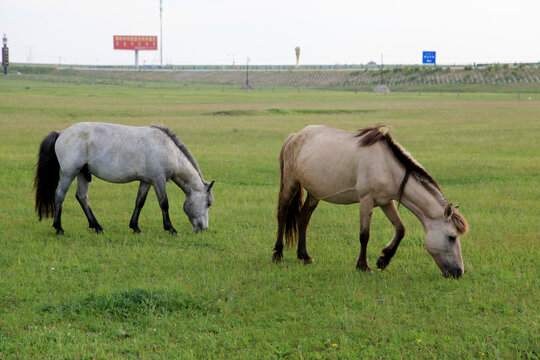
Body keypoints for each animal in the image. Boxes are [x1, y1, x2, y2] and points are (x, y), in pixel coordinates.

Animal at [33, 122, 215, 235]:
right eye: (208, 203)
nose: (204, 229)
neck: (168, 149)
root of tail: (62, 133)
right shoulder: (158, 180)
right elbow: (164, 204)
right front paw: (171, 229)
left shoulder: (146, 181)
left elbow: (139, 202)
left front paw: (135, 227)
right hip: (70, 173)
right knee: (60, 195)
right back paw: (59, 228)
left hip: (83, 174)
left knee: (82, 197)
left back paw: (97, 227)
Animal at [274, 124, 468, 278]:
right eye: (451, 237)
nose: (458, 272)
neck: (387, 166)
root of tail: (294, 136)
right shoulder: (366, 200)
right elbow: (364, 235)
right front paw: (363, 266)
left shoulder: (385, 202)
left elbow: (400, 229)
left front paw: (383, 260)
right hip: (290, 182)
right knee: (282, 213)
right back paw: (277, 253)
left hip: (315, 193)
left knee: (303, 218)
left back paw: (304, 256)